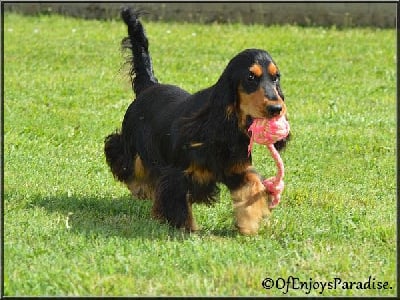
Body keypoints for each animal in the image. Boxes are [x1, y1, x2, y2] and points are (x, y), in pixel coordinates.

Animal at [104, 7, 290, 234]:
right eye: (250, 78)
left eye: (276, 77)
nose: (276, 109)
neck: (223, 124)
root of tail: (149, 86)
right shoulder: (177, 174)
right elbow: (179, 204)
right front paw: (187, 229)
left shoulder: (235, 169)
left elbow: (253, 184)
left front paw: (249, 222)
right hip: (133, 146)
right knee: (126, 162)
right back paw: (141, 189)